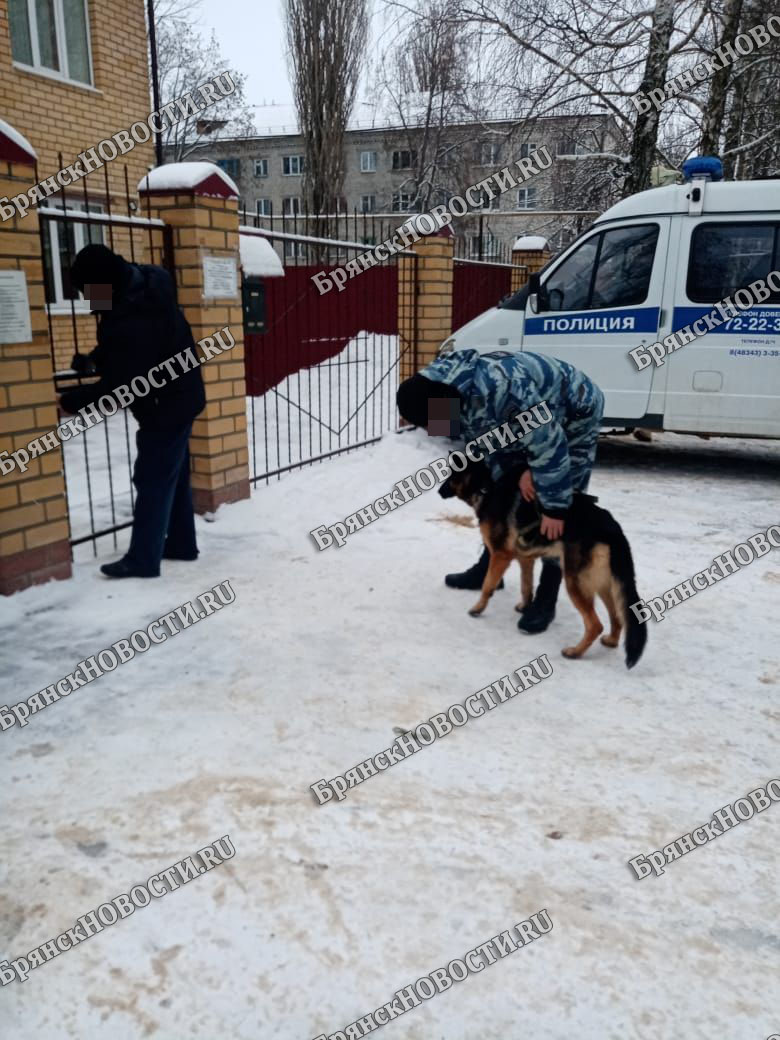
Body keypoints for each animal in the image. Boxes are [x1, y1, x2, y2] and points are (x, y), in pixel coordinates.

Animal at [440, 461, 648, 665]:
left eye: (450, 476)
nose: (439, 491)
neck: (487, 487)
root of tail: (613, 529)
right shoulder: (526, 559)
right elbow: (526, 586)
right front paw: (524, 607)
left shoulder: (500, 556)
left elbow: (487, 585)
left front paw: (478, 608)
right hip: (602, 584)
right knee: (618, 616)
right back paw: (611, 641)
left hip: (576, 583)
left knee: (595, 624)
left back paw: (575, 652)